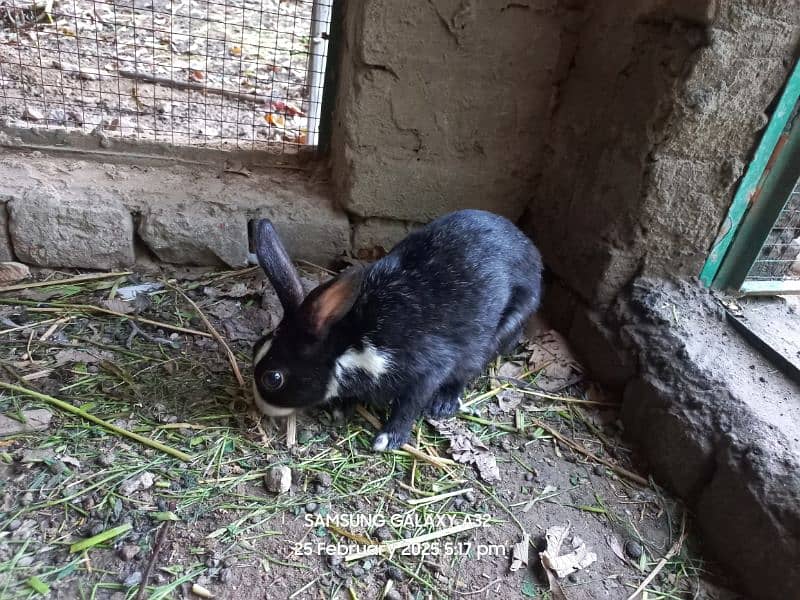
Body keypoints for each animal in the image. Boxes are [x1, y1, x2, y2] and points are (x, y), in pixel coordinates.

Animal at [253, 209, 540, 448]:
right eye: (256, 346)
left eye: (273, 378)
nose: (260, 406)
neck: (350, 341)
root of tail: (531, 251)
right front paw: (341, 409)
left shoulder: (427, 369)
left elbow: (409, 405)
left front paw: (388, 439)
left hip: (500, 331)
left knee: (470, 368)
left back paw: (444, 404)